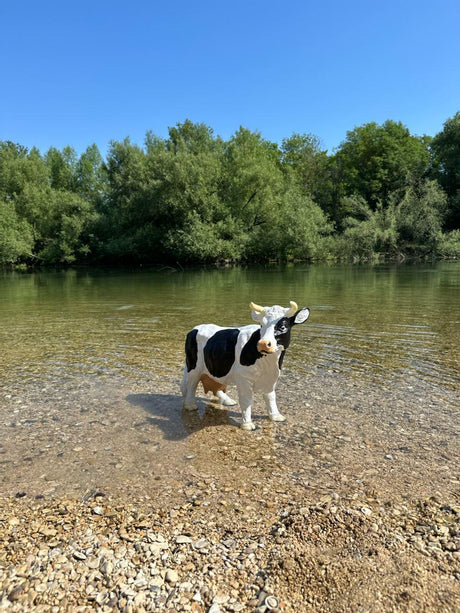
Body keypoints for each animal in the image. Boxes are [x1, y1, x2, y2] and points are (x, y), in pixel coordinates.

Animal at [180, 302, 310, 428]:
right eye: (261, 325)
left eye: (282, 327)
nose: (263, 344)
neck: (269, 364)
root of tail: (195, 329)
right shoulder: (244, 378)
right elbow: (246, 400)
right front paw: (247, 424)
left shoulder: (271, 377)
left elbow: (271, 397)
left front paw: (276, 416)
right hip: (193, 367)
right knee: (191, 385)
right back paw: (190, 405)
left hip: (216, 365)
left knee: (216, 383)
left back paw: (227, 400)